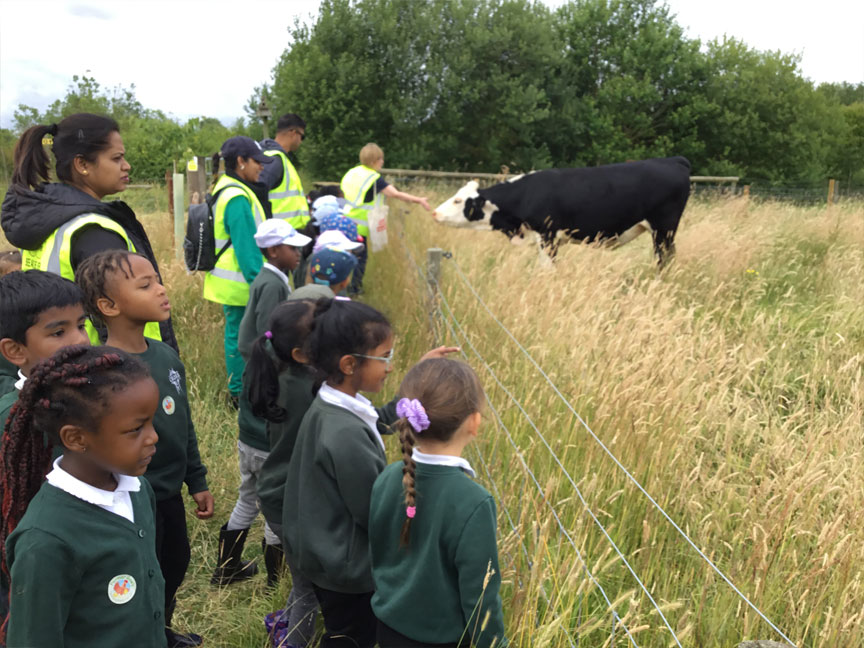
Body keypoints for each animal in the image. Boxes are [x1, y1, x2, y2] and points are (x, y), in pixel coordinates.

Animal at [436, 156, 692, 266]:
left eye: (458, 200)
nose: (435, 212)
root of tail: (673, 160)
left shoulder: (547, 236)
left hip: (663, 230)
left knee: (664, 259)